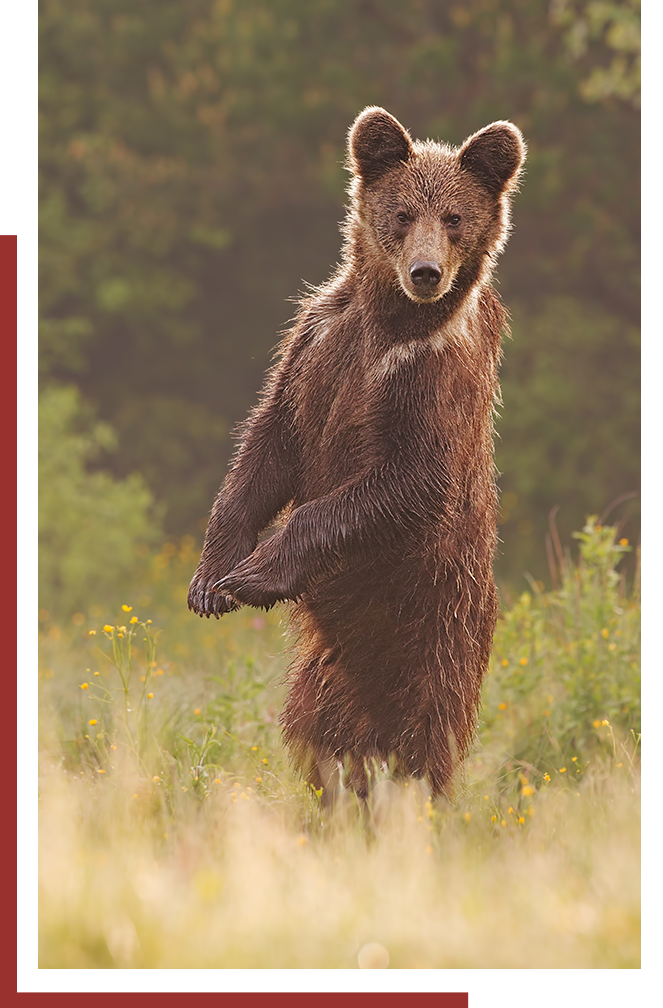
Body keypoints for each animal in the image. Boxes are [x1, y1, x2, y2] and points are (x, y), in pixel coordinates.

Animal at [188, 106, 526, 800]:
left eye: (455, 217)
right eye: (402, 212)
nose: (426, 273)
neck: (391, 320)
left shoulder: (431, 380)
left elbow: (409, 480)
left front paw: (253, 573)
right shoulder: (314, 344)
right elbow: (269, 443)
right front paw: (213, 577)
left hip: (436, 624)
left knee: (420, 738)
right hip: (331, 670)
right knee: (322, 737)